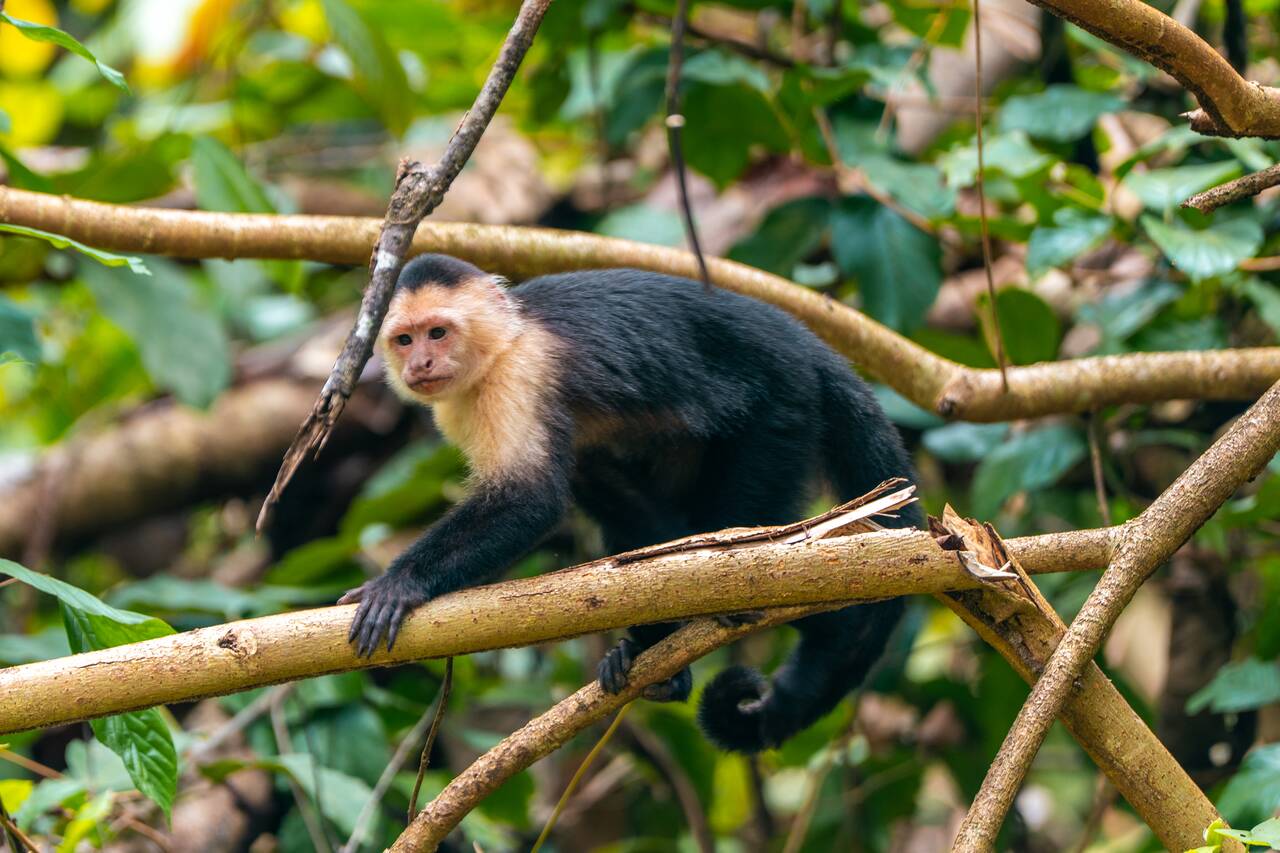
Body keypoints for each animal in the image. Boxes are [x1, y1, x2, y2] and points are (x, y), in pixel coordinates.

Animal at [339, 253, 921, 753]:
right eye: (404, 339)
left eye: (438, 332)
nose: (421, 363)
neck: (505, 339)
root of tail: (810, 345)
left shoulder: (518, 375)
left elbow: (529, 498)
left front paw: (398, 584)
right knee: (612, 489)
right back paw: (657, 651)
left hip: (785, 406)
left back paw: (809, 621)